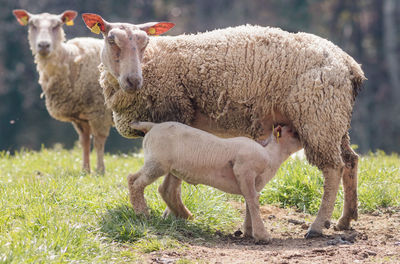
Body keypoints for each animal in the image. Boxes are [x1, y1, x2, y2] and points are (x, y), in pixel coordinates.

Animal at [12, 9, 112, 173]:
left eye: (57, 25)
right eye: (32, 25)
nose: (43, 45)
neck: (70, 61)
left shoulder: (99, 111)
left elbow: (98, 141)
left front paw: (100, 170)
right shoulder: (80, 116)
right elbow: (84, 141)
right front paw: (85, 170)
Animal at [82, 13, 366, 238]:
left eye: (145, 42)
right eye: (111, 40)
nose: (134, 81)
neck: (152, 62)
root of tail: (350, 65)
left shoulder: (176, 111)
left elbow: (173, 178)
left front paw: (173, 213)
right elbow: (175, 172)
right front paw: (174, 213)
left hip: (317, 116)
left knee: (333, 169)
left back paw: (317, 226)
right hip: (335, 120)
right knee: (350, 160)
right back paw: (346, 219)